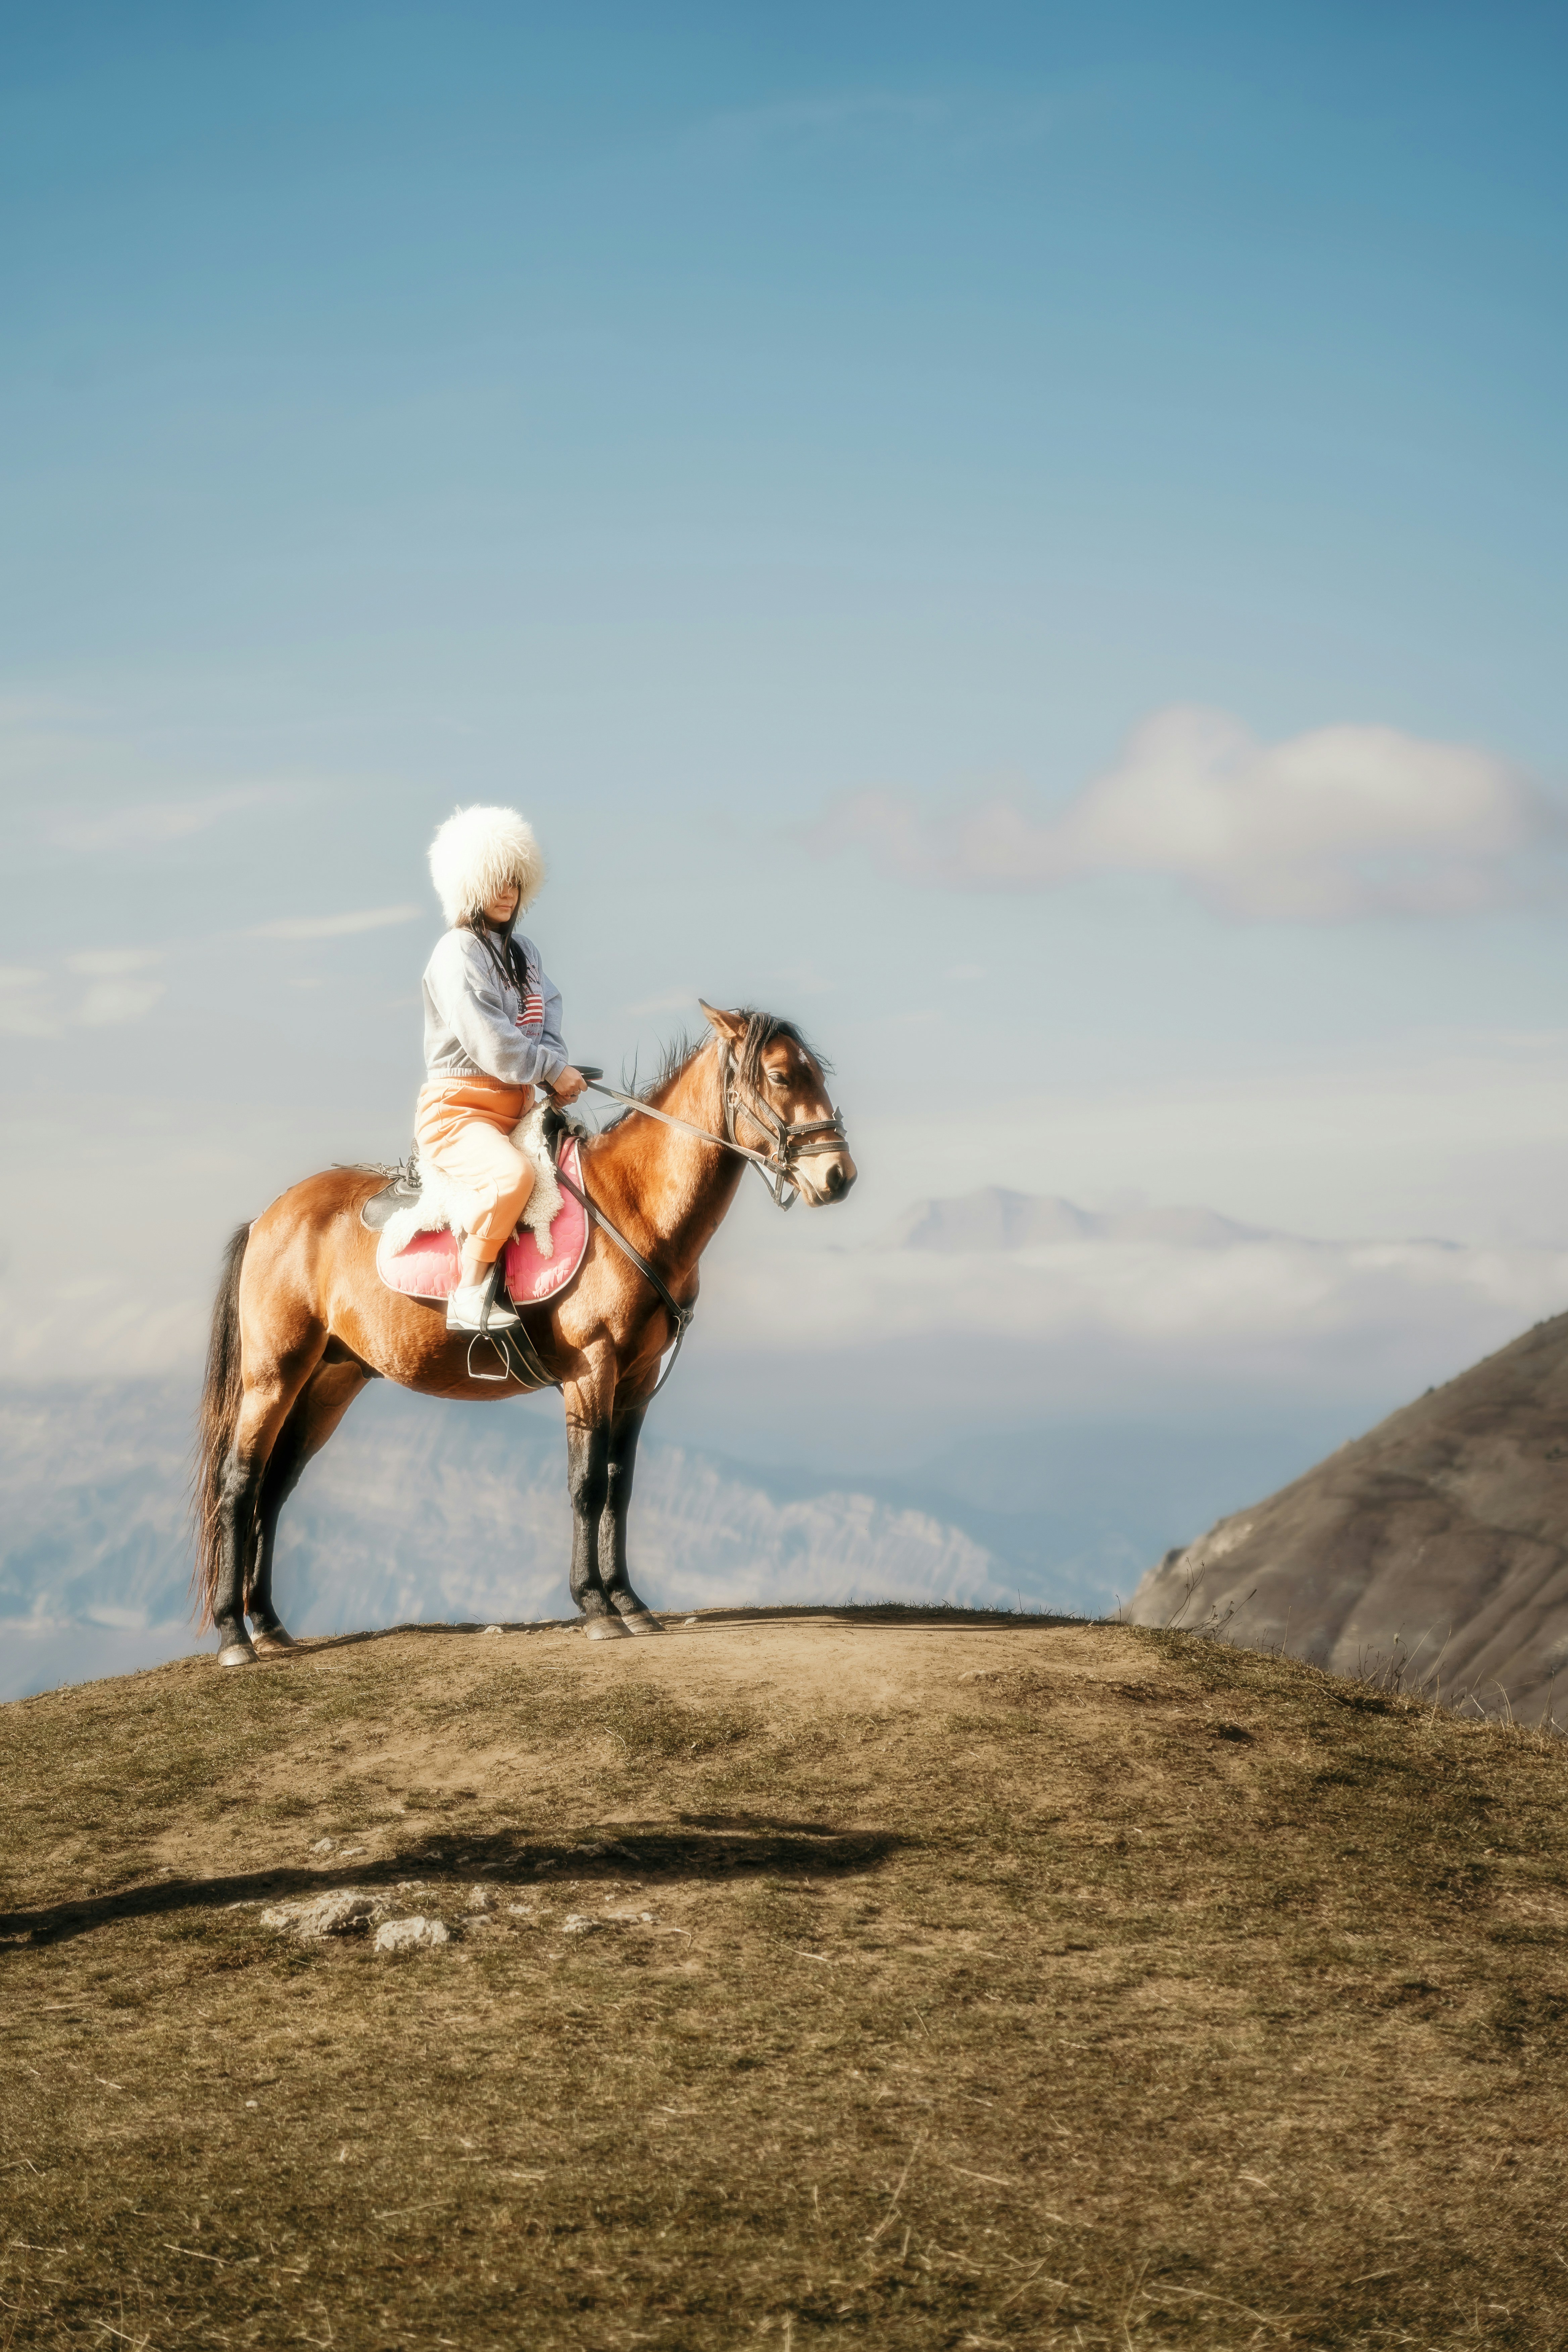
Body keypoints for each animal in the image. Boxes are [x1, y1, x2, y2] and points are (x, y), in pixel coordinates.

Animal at [192, 1003, 856, 1665]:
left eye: (816, 1072)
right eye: (780, 1076)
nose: (839, 1175)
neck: (633, 1204)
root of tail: (269, 1218)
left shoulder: (636, 1381)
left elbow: (619, 1487)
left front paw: (630, 1602)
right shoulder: (593, 1370)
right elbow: (587, 1485)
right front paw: (595, 1605)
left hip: (331, 1380)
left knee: (275, 1487)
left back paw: (269, 1624)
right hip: (273, 1376)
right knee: (240, 1484)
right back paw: (235, 1634)